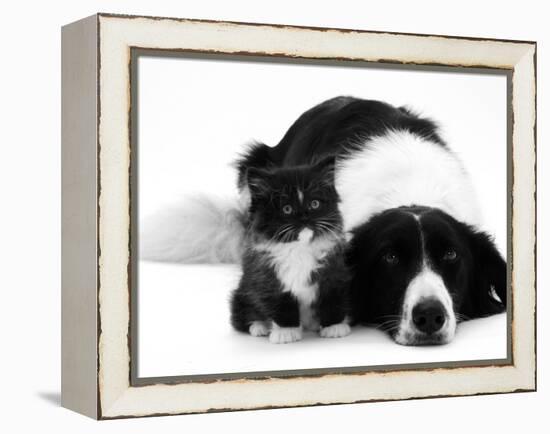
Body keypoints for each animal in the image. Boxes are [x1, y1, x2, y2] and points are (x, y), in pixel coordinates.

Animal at [230, 158, 352, 344]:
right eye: (287, 209)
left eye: (314, 204)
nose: (304, 217)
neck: (299, 248)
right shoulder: (267, 278)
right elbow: (281, 303)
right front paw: (286, 332)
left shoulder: (334, 271)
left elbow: (332, 298)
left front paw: (334, 326)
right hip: (242, 292)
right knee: (241, 316)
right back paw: (260, 326)